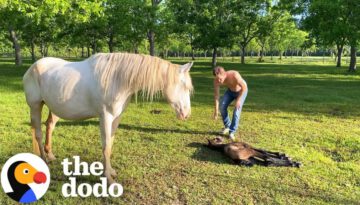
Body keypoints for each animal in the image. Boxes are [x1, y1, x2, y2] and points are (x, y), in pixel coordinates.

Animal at [22, 52, 193, 183]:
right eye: (184, 85)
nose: (186, 114)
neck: (117, 79)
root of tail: (32, 67)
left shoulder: (116, 118)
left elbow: (110, 144)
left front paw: (111, 172)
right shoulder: (105, 117)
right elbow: (105, 146)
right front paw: (108, 179)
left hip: (55, 108)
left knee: (49, 126)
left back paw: (50, 155)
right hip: (35, 106)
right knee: (38, 132)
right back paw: (44, 160)